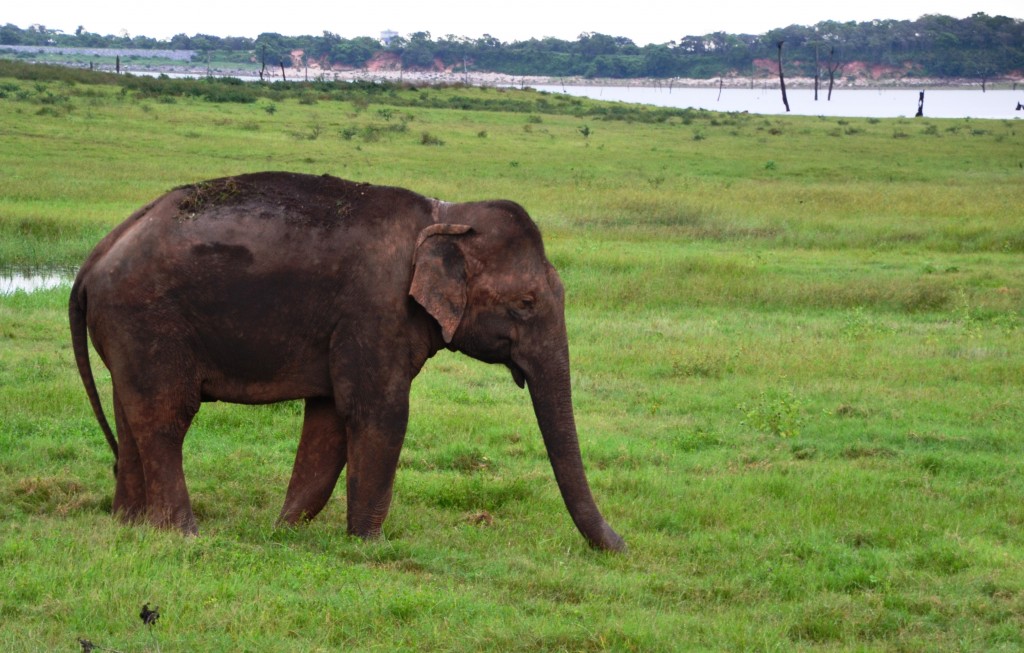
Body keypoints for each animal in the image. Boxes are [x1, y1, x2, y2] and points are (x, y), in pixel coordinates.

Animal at [69, 171, 624, 552]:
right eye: (526, 303)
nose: (620, 545)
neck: (444, 215)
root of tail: (93, 259)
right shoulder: (376, 310)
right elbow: (380, 413)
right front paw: (368, 545)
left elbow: (329, 420)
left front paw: (284, 531)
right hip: (148, 318)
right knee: (166, 416)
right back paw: (183, 533)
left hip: (128, 331)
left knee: (130, 413)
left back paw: (128, 524)